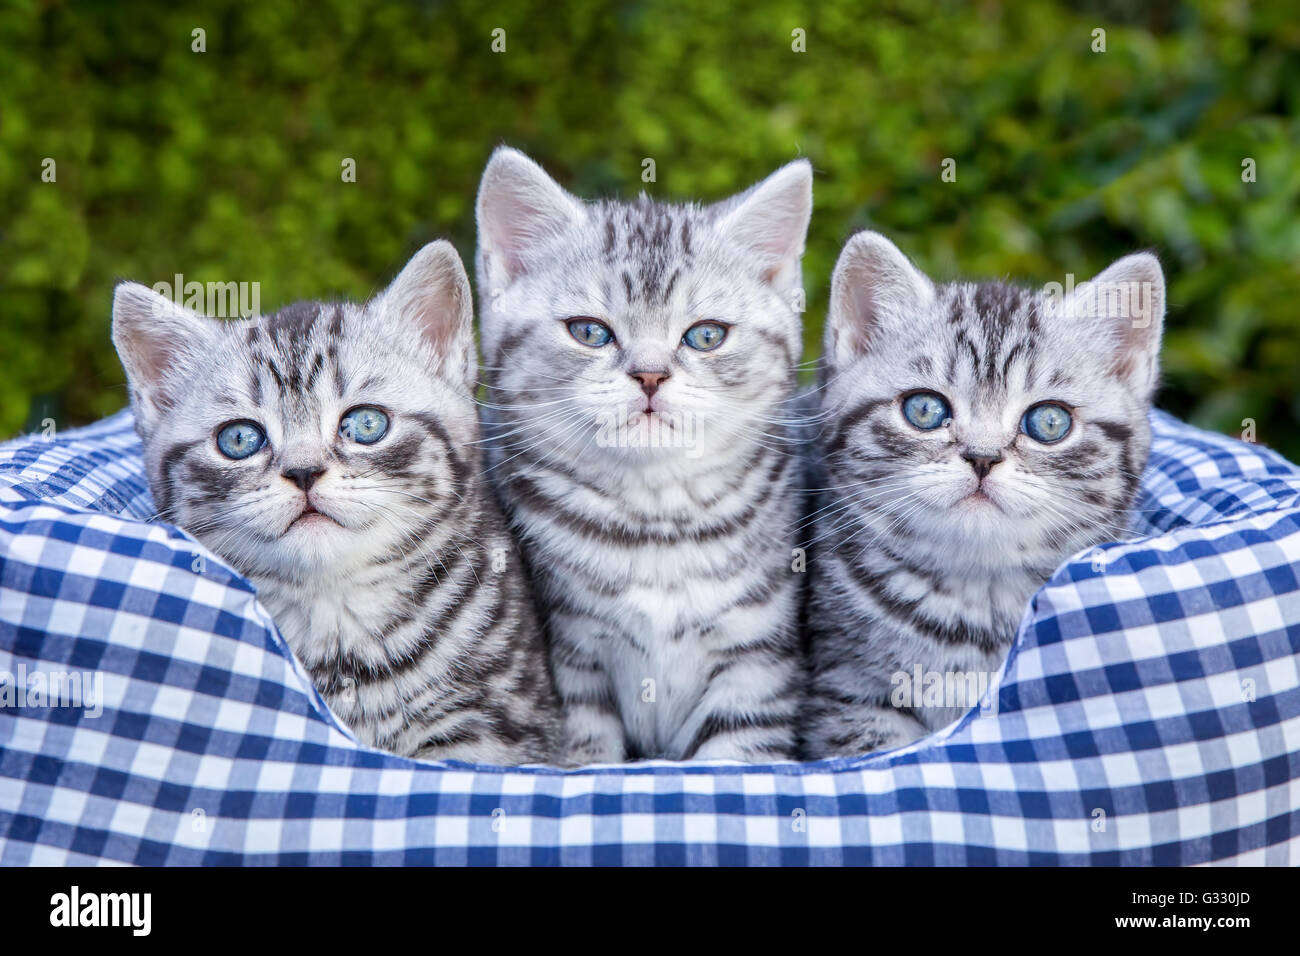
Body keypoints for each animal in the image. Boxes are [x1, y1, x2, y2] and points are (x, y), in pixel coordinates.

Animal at [467, 149, 811, 764]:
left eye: (705, 336)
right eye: (588, 332)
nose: (650, 376)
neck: (655, 525)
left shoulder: (757, 663)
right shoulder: (572, 661)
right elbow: (588, 754)